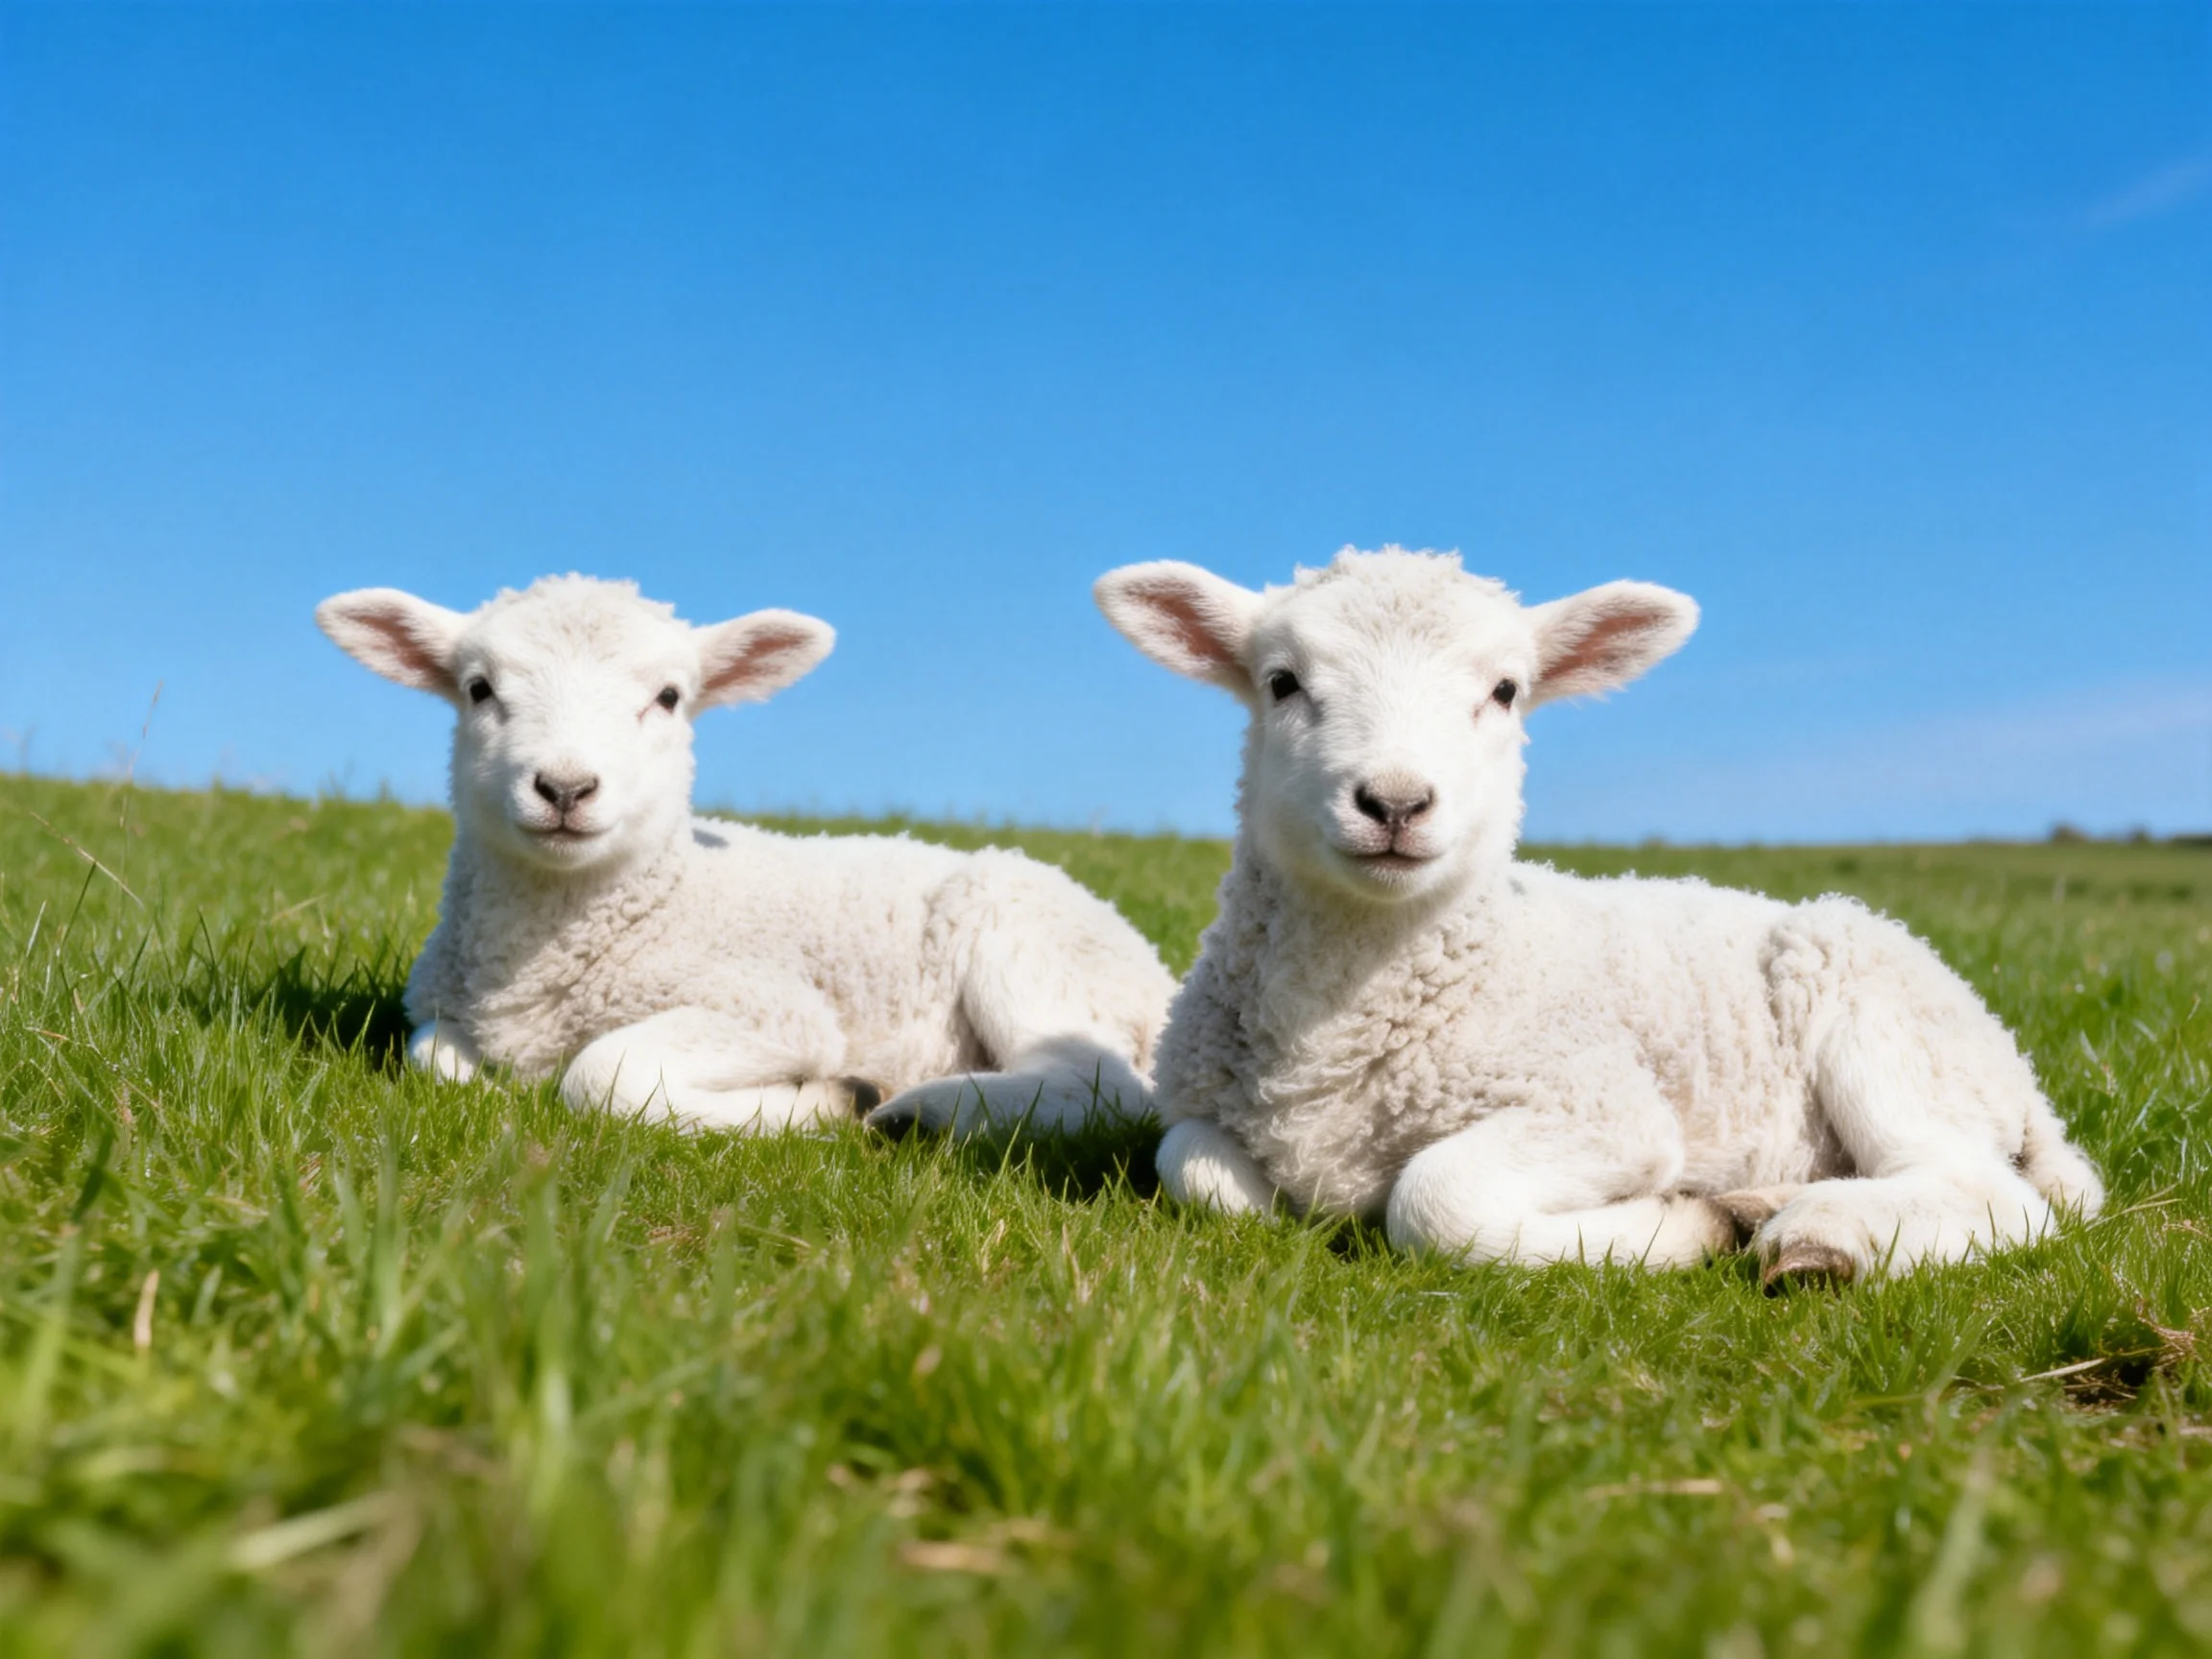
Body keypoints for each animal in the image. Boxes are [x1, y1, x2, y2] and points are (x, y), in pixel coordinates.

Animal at [316, 575, 1174, 1136]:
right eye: (478, 689)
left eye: (669, 698)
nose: (565, 787)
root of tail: (1157, 975)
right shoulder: (446, 1012)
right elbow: (432, 1057)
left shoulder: (773, 1010)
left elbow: (605, 1074)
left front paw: (826, 1101)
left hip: (1026, 941)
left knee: (1104, 1088)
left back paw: (921, 1109)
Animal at [1094, 546, 2104, 1284]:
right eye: (1281, 682)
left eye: (1506, 691)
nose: (1394, 803)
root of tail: (2018, 1076)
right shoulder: (1197, 1108)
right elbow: (1198, 1173)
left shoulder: (1604, 1110)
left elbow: (1436, 1200)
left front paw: (1679, 1227)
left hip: (1874, 1011)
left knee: (1997, 1197)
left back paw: (1820, 1237)